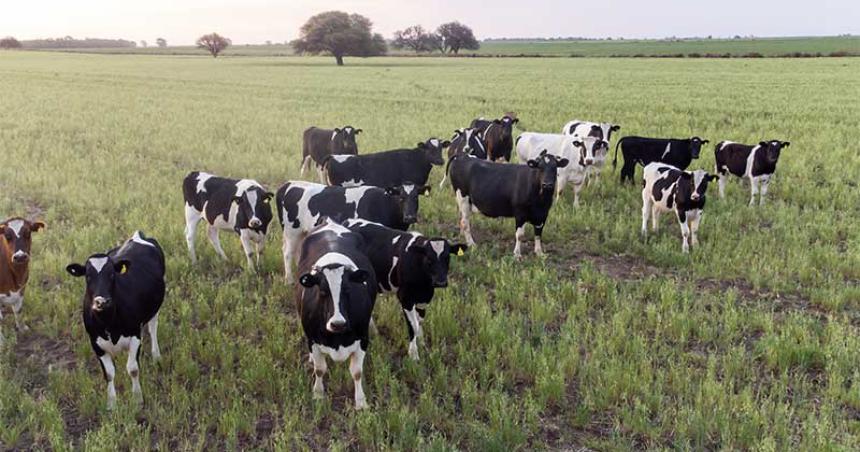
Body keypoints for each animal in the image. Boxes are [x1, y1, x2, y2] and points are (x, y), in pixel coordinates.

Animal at [64, 233, 165, 410]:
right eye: (88, 277)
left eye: (112, 274)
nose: (101, 301)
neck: (109, 324)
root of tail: (137, 235)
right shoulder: (95, 344)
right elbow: (109, 374)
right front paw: (111, 403)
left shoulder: (135, 336)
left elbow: (133, 368)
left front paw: (137, 398)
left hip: (155, 307)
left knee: (153, 328)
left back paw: (156, 355)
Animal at [278, 181, 428, 280]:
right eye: (401, 197)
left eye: (416, 197)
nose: (410, 217)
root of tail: (288, 184)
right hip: (292, 232)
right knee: (288, 253)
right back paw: (289, 280)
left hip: (302, 232)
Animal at [296, 217, 376, 412]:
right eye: (322, 291)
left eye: (348, 289)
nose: (337, 323)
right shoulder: (313, 339)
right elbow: (319, 369)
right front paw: (318, 394)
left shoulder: (363, 339)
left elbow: (357, 372)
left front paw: (361, 402)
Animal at [342, 219, 466, 360]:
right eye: (429, 258)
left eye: (447, 258)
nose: (440, 282)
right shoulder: (405, 297)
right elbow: (413, 326)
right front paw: (414, 355)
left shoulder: (424, 299)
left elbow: (420, 322)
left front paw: (422, 343)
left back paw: (374, 331)